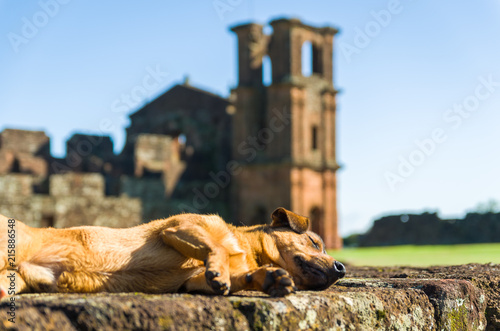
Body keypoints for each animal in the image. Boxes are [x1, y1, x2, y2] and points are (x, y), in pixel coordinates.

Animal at [0, 208, 344, 298]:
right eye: (315, 243)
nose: (341, 267)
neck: (245, 249)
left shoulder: (192, 281)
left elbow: (238, 277)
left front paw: (270, 279)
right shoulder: (179, 228)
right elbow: (216, 247)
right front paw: (221, 268)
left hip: (16, 279)